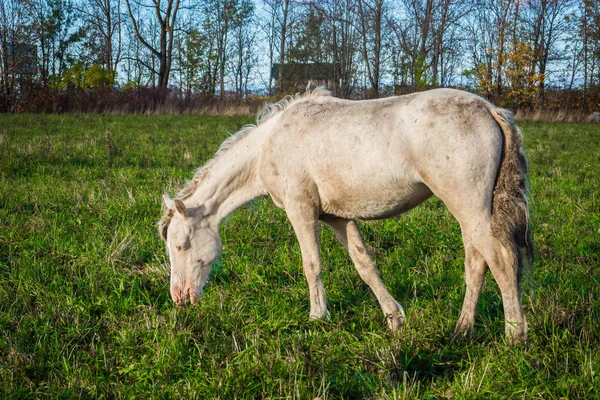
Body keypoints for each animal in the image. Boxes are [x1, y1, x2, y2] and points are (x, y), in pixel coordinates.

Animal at [159, 88, 536, 344]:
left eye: (181, 245)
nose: (180, 298)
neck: (270, 143)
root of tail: (490, 108)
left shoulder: (301, 210)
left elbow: (312, 264)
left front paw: (317, 317)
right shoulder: (337, 217)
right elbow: (364, 264)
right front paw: (394, 318)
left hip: (469, 207)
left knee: (500, 261)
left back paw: (514, 335)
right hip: (470, 213)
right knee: (477, 263)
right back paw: (462, 329)